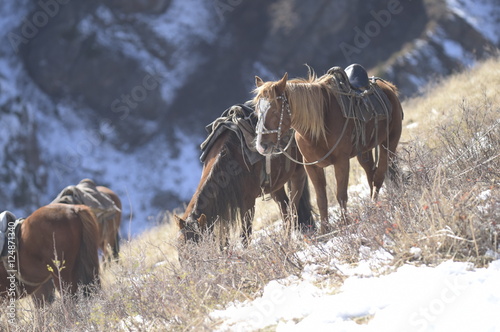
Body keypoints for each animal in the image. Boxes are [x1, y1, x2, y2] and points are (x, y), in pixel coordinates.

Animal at [176, 122, 314, 246]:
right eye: (180, 245)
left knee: (293, 208)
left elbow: (245, 236)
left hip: (298, 174)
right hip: (275, 187)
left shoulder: (248, 203)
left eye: (199, 243)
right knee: (284, 208)